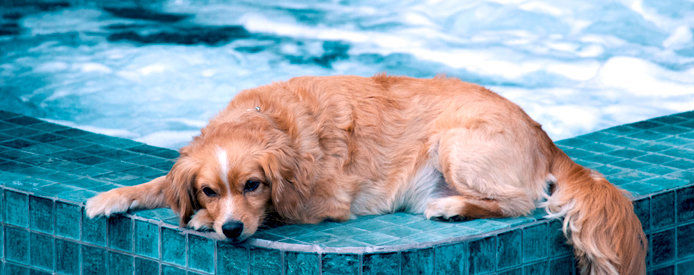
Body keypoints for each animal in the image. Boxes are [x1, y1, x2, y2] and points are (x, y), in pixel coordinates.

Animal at [85, 75, 648, 274]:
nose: (232, 228)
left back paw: (451, 206)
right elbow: (161, 183)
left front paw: (203, 222)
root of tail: (542, 133)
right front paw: (115, 195)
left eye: (254, 185)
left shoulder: (322, 202)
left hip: (455, 142)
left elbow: (279, 212)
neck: (269, 120)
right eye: (207, 188)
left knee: (518, 203)